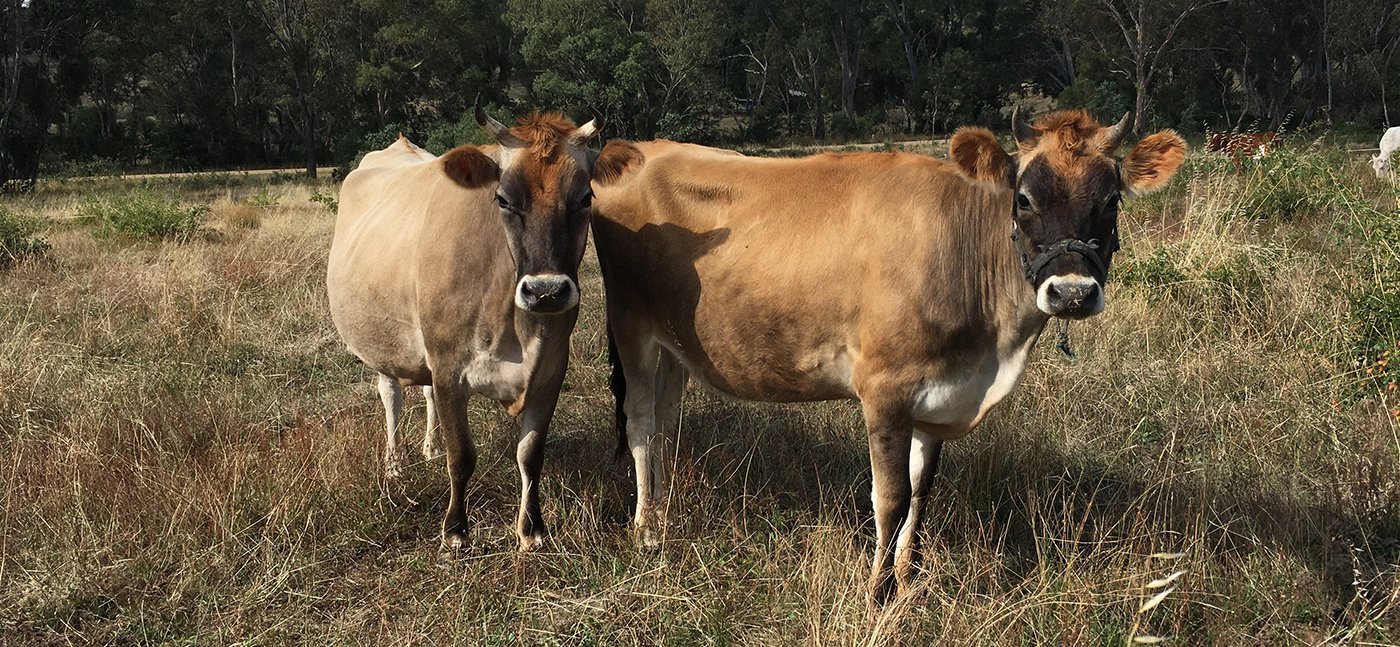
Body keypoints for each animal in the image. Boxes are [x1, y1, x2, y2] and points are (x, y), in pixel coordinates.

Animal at [328, 107, 620, 551]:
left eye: (585, 197)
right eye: (503, 199)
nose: (546, 291)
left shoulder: (552, 369)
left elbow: (530, 454)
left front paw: (531, 530)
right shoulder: (449, 368)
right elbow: (462, 455)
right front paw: (455, 531)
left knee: (424, 393)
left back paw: (428, 448)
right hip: (383, 342)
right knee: (391, 395)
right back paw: (395, 464)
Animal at [589, 110, 1186, 608]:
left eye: (1112, 200)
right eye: (1023, 198)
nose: (1072, 293)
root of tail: (634, 150)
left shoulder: (938, 398)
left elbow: (922, 493)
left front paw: (909, 575)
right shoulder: (885, 388)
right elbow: (891, 499)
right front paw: (878, 594)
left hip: (675, 344)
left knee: (665, 425)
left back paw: (665, 510)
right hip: (631, 325)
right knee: (640, 422)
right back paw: (646, 532)